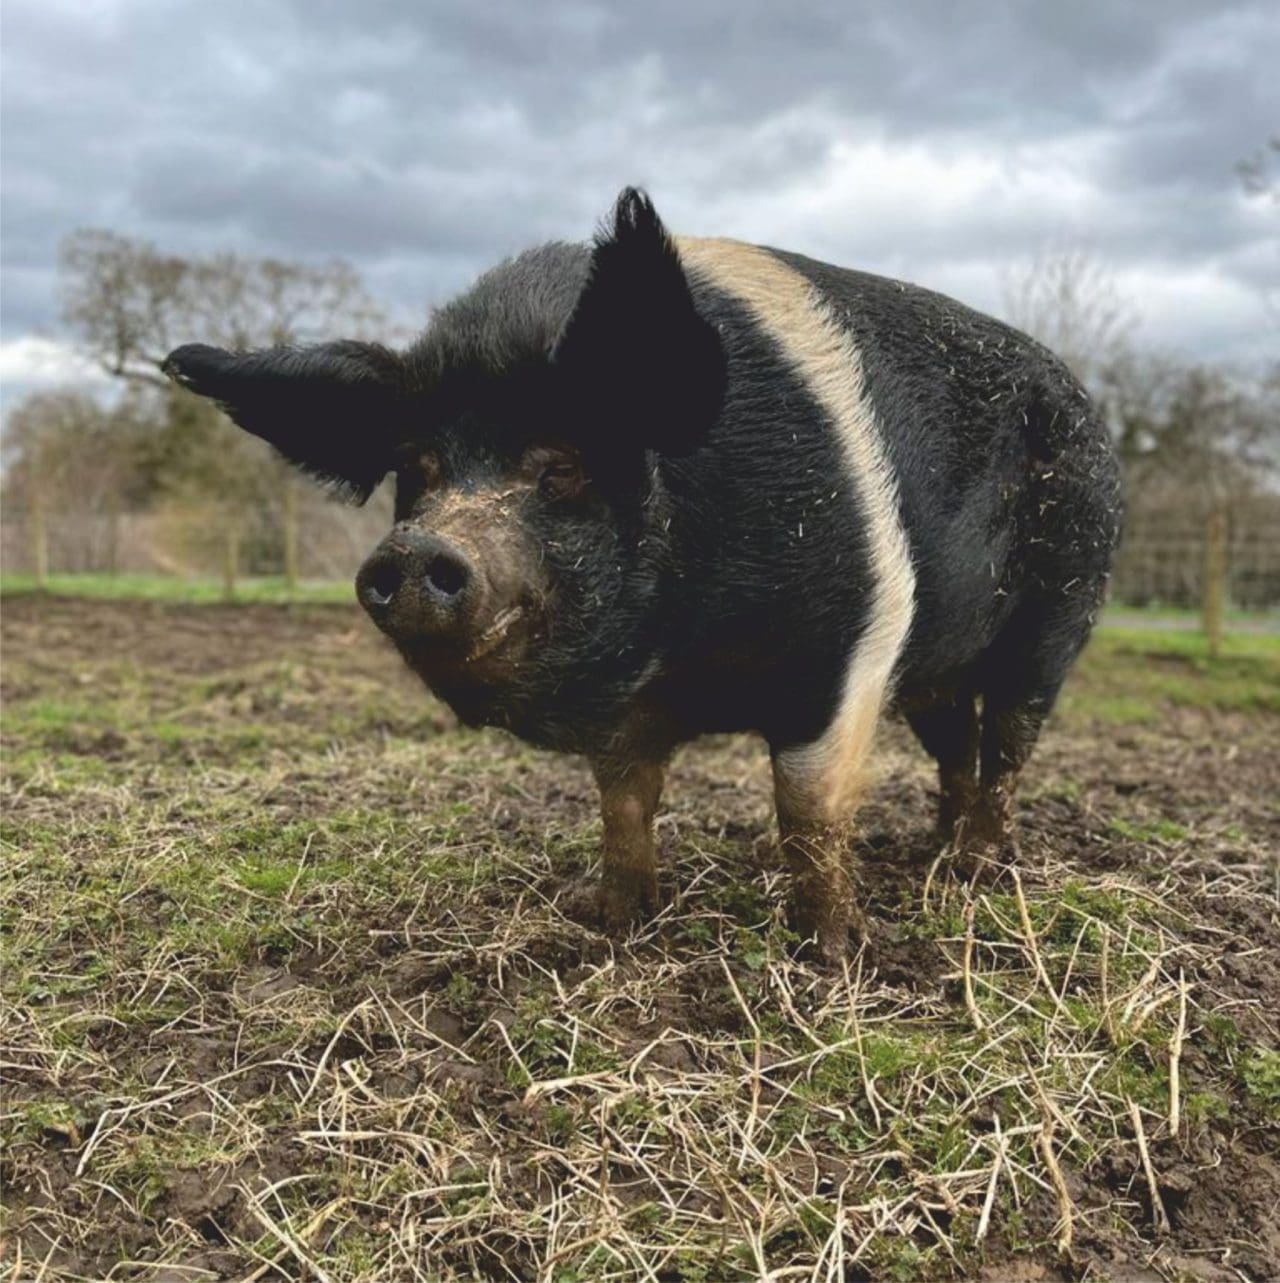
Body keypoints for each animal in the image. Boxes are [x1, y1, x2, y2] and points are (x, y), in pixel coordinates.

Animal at [163, 188, 1122, 961]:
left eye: (560, 466)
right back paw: (934, 853)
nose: (414, 550)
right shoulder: (632, 713)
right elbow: (625, 801)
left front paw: (835, 950)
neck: (684, 649)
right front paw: (603, 915)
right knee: (956, 747)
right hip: (941, 665)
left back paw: (973, 871)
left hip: (1062, 610)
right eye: (421, 469)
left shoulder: (844, 654)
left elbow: (809, 807)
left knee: (1009, 742)